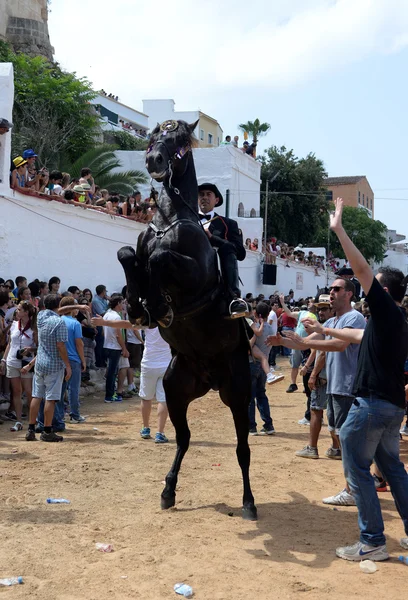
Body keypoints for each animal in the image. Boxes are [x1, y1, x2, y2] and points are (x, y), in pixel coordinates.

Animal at [118, 118, 256, 520]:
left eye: (180, 141)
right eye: (154, 136)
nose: (154, 160)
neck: (171, 219)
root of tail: (211, 379)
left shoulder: (196, 273)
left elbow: (162, 258)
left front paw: (158, 304)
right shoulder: (137, 253)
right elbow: (129, 253)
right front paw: (139, 307)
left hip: (238, 394)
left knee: (242, 449)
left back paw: (249, 502)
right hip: (177, 389)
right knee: (184, 438)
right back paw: (168, 490)